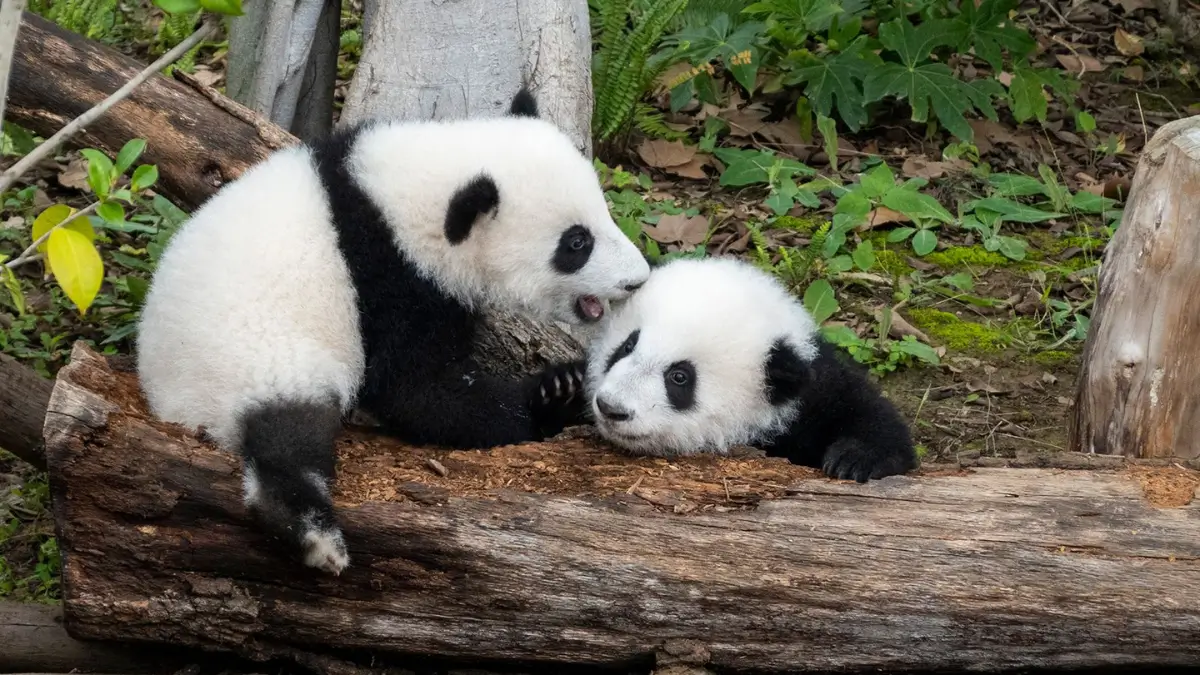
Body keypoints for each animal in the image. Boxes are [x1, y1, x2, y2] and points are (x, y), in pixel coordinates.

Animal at [136, 88, 650, 576]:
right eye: (576, 243)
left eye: (604, 213)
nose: (637, 279)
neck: (396, 199)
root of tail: (166, 397)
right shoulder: (389, 279)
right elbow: (417, 392)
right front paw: (550, 396)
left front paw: (561, 385)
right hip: (255, 354)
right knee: (287, 434)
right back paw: (313, 534)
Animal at [584, 256, 917, 482]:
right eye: (628, 345)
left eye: (679, 377)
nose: (611, 407)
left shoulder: (813, 393)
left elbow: (867, 414)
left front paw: (854, 459)